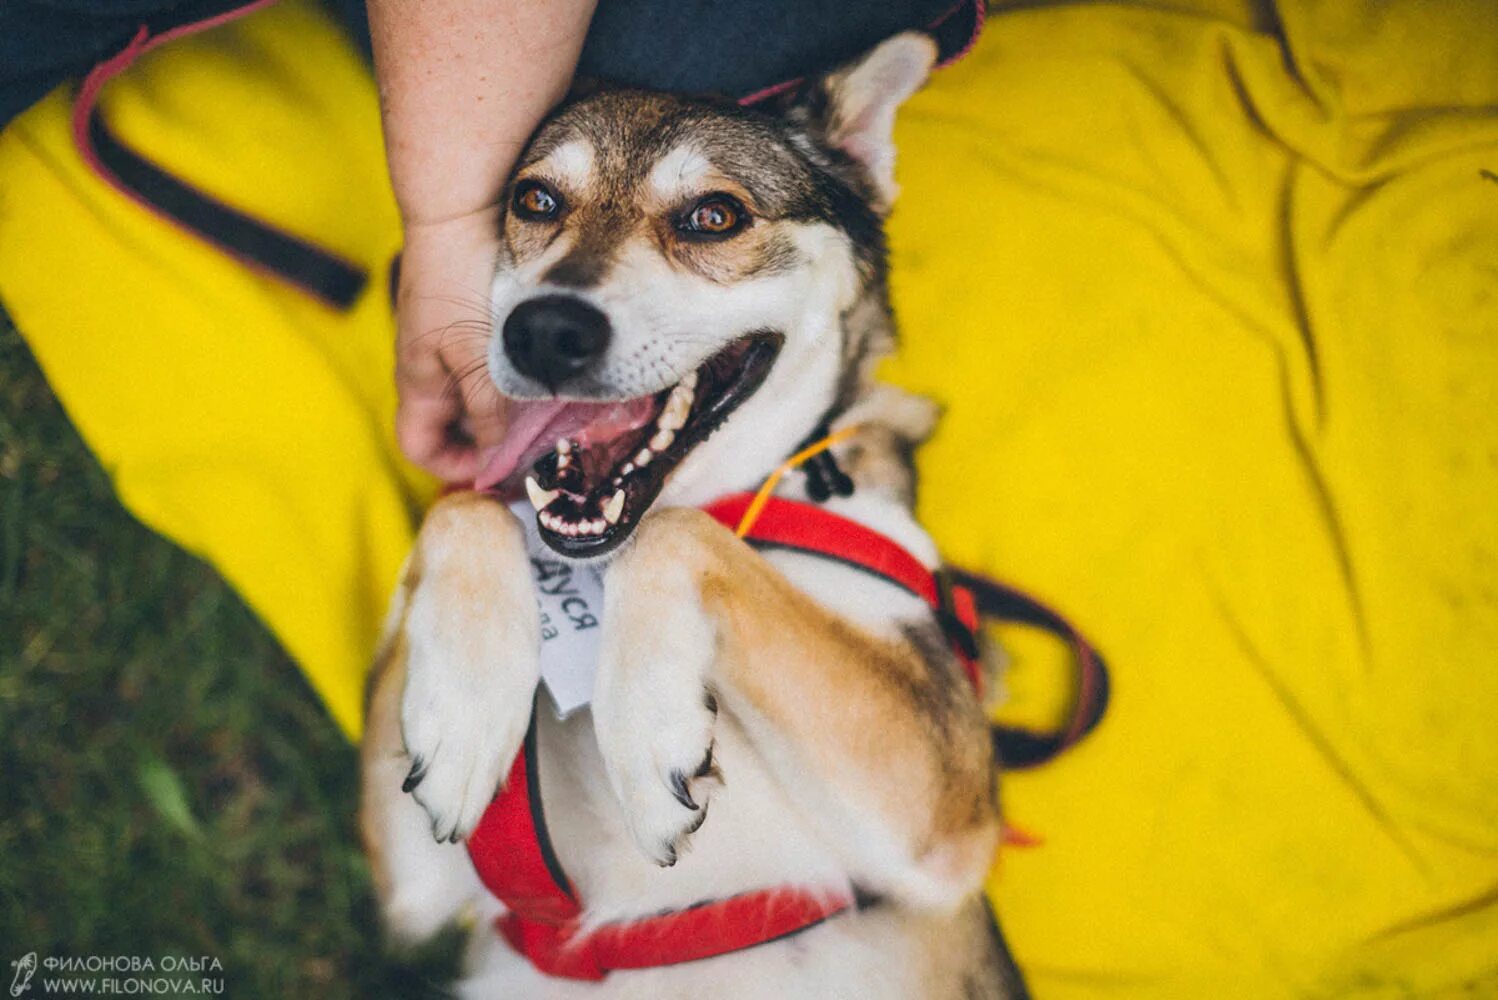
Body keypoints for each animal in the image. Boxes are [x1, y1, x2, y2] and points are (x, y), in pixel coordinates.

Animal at [359, 33, 1030, 999]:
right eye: (535, 199)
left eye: (714, 216)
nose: (545, 331)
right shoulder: (416, 883)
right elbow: (463, 504)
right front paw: (464, 713)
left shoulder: (942, 822)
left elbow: (678, 535)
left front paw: (644, 733)